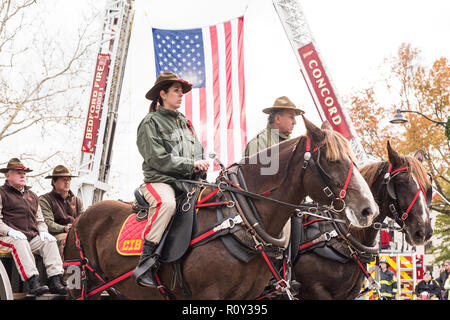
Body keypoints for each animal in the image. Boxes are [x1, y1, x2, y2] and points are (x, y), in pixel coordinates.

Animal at [64, 118, 380, 300]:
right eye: (332, 160)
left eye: (353, 158)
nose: (368, 210)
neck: (240, 216)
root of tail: (80, 220)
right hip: (81, 287)